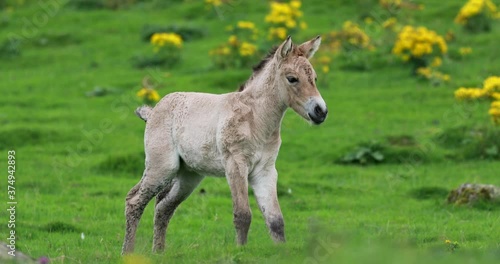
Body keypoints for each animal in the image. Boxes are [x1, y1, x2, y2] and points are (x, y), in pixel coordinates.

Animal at [123, 35, 328, 254]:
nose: (320, 111)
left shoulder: (265, 171)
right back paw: (128, 253)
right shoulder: (235, 165)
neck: (256, 120)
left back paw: (159, 252)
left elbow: (275, 220)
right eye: (292, 79)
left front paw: (282, 252)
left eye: (314, 79)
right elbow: (243, 215)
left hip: (188, 175)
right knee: (134, 201)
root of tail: (153, 111)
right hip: (162, 167)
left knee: (163, 207)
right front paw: (240, 252)